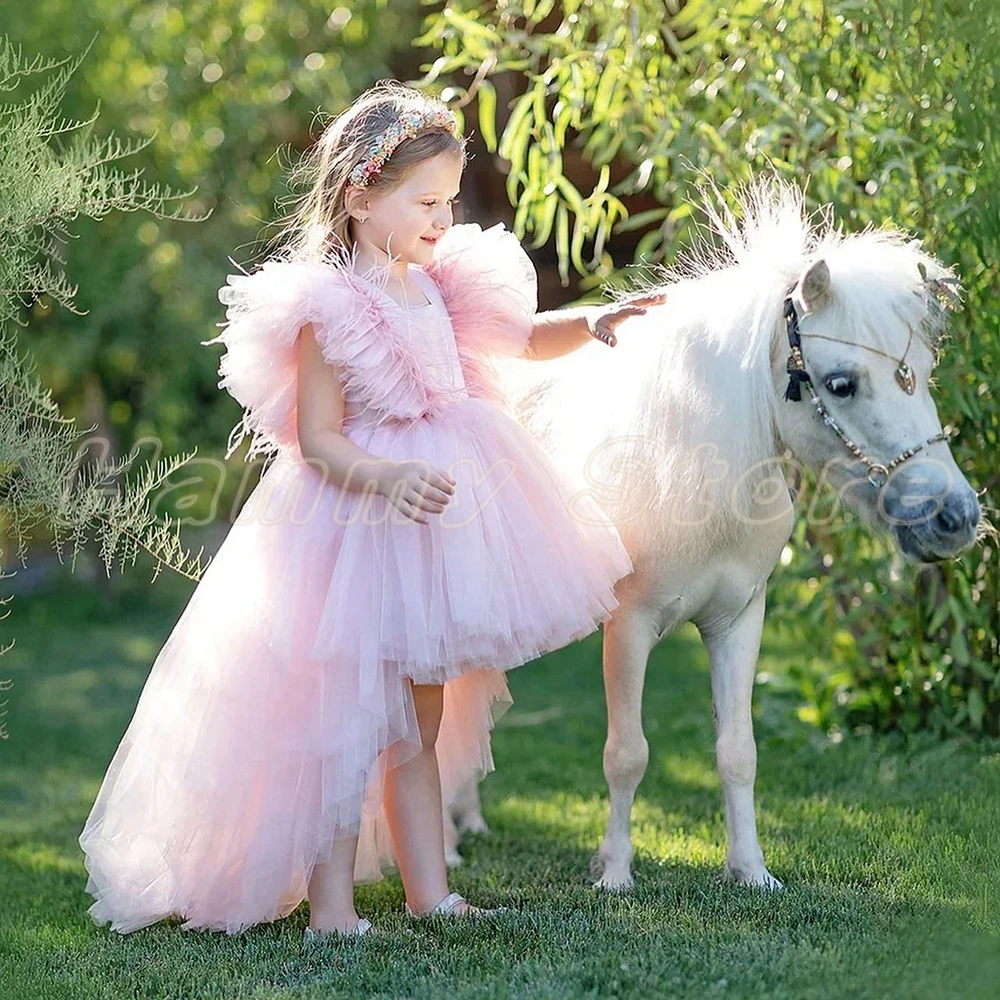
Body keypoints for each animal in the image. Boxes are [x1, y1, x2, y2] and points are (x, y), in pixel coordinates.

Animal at [450, 176, 988, 888]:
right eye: (841, 383)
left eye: (922, 375)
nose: (954, 518)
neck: (692, 467)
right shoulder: (630, 626)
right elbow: (626, 753)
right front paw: (614, 873)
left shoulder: (737, 621)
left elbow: (738, 751)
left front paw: (751, 870)